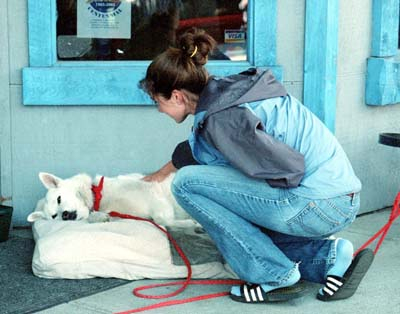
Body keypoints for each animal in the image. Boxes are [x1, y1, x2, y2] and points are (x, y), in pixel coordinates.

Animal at [27, 172, 198, 228]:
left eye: (59, 199)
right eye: (54, 216)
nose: (65, 215)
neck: (99, 198)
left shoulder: (151, 190)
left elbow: (163, 219)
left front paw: (192, 223)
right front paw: (100, 217)